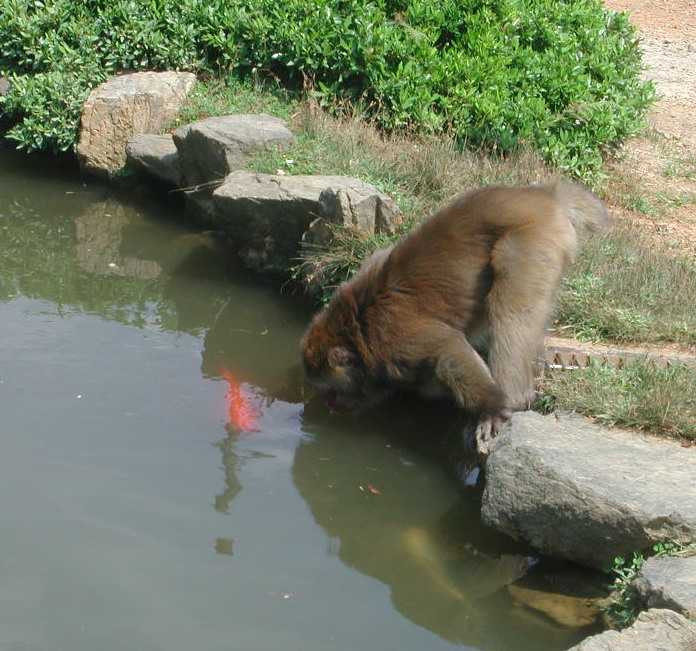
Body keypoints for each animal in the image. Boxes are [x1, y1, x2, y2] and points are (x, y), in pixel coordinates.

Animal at [302, 181, 608, 446]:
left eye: (329, 390)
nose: (329, 404)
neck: (357, 329)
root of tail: (547, 195)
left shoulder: (394, 339)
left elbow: (447, 351)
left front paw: (493, 409)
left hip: (534, 240)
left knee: (510, 307)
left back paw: (514, 398)